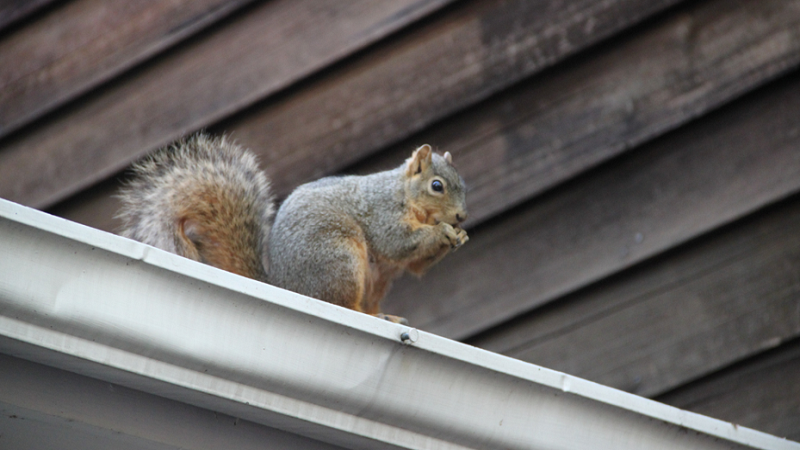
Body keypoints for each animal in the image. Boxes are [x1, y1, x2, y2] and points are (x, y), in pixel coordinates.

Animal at [119, 134, 468, 324]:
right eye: (437, 186)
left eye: (463, 184)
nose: (462, 216)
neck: (404, 194)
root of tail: (285, 286)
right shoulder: (382, 212)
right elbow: (398, 243)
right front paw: (443, 232)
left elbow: (415, 265)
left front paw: (459, 237)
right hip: (339, 258)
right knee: (344, 305)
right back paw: (372, 315)